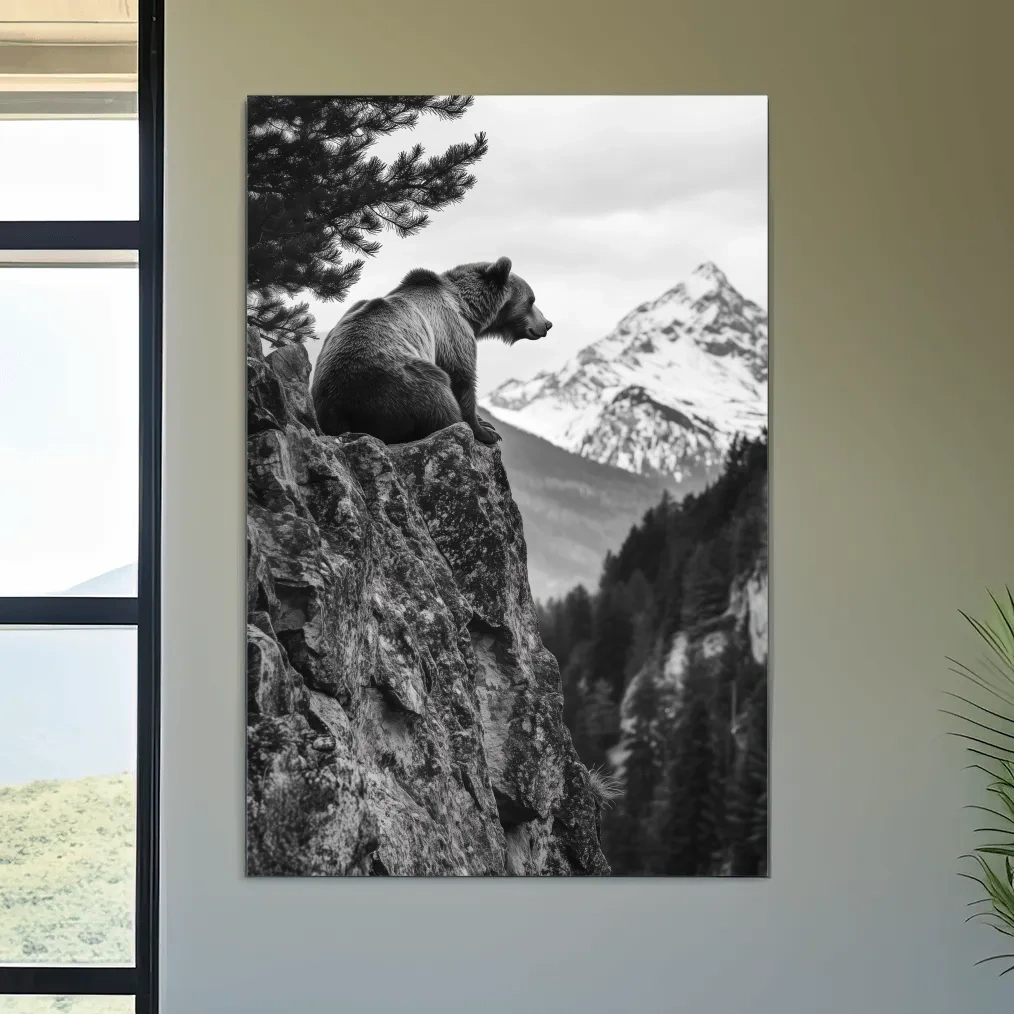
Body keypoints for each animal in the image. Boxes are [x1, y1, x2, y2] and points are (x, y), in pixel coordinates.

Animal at [310, 256, 552, 445]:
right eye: (531, 301)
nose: (547, 324)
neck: (468, 310)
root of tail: (338, 408)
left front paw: (485, 423)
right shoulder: (451, 331)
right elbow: (462, 377)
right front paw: (486, 431)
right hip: (397, 383)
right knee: (437, 395)